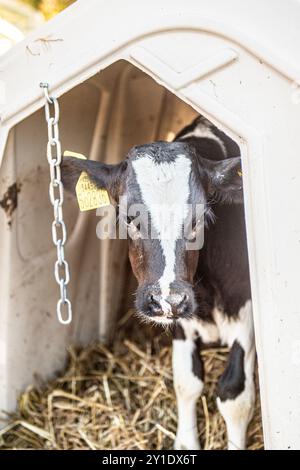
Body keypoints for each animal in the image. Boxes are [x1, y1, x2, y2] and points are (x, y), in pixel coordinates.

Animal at [61, 115, 255, 450]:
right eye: (128, 218)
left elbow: (234, 395)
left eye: (201, 218)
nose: (167, 299)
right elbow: (186, 382)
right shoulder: (179, 320)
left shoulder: (246, 311)